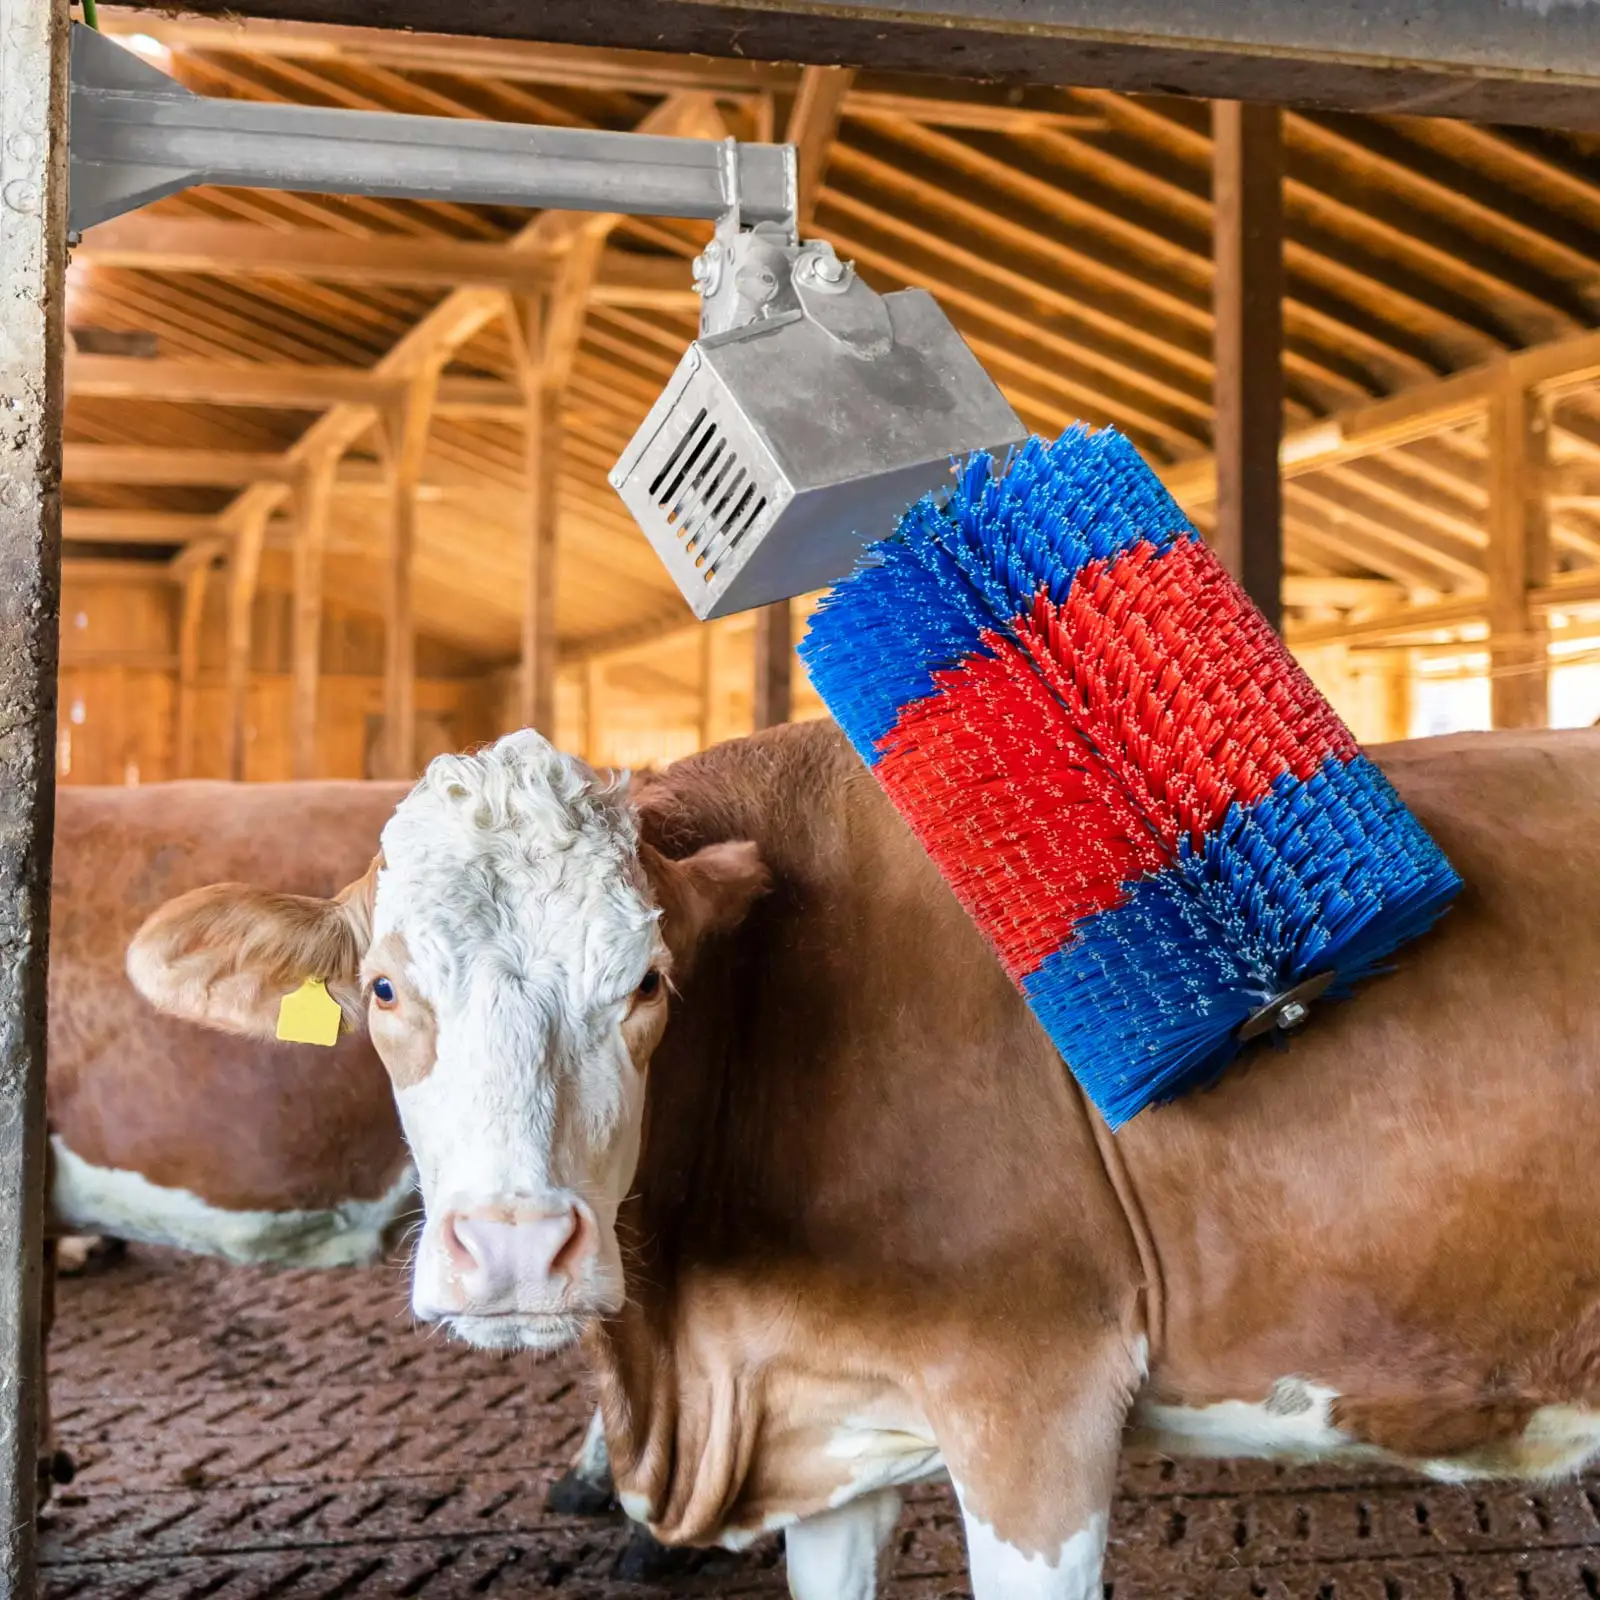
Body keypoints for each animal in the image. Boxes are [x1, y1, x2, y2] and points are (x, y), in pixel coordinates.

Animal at [126, 720, 1600, 1600]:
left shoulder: (1033, 1401)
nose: (516, 1251)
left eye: (645, 983)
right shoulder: (827, 1411)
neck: (696, 1366)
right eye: (383, 988)